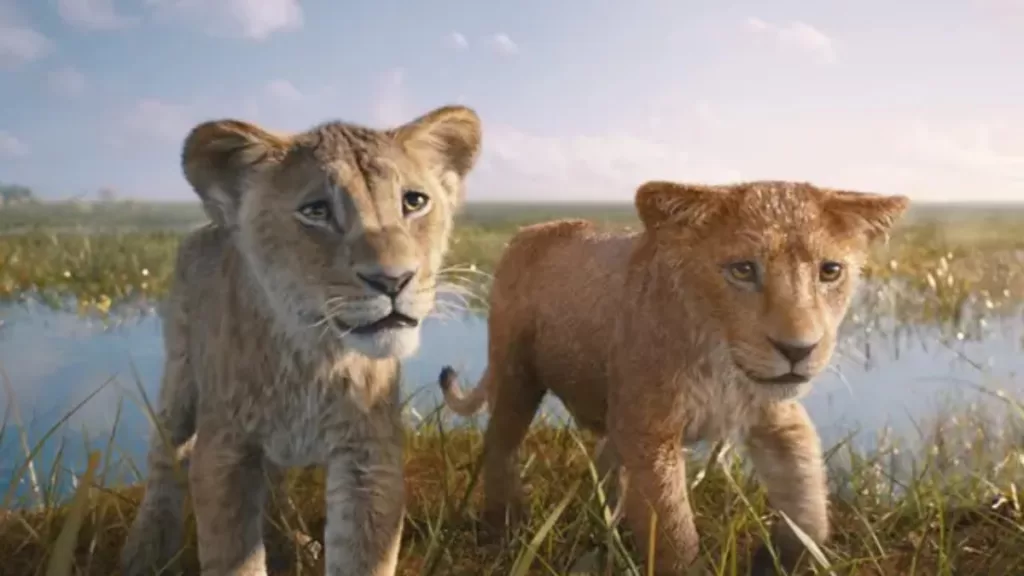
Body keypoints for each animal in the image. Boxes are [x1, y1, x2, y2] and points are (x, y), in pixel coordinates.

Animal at [119, 104, 482, 576]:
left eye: (414, 202)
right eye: (317, 211)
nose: (394, 280)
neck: (315, 356)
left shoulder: (369, 456)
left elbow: (361, 557)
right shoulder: (225, 452)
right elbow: (233, 558)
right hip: (179, 375)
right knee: (166, 456)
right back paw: (143, 552)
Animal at [439, 180, 909, 575]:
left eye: (830, 271)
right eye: (742, 270)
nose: (798, 350)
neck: (721, 363)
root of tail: (529, 230)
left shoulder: (778, 418)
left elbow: (809, 505)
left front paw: (778, 560)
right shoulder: (651, 431)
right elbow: (674, 530)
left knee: (607, 464)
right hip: (516, 372)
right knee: (500, 444)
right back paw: (505, 527)